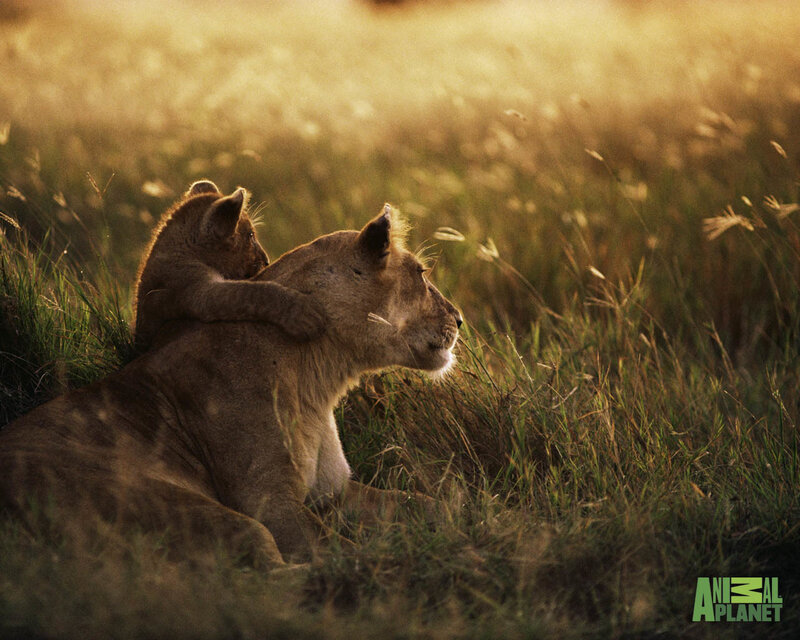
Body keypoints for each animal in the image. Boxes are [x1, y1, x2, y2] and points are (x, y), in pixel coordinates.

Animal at [0, 200, 462, 567]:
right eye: (421, 273)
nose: (459, 319)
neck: (319, 377)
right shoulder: (271, 503)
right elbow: (339, 549)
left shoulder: (336, 491)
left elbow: (429, 505)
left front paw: (467, 517)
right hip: (189, 509)